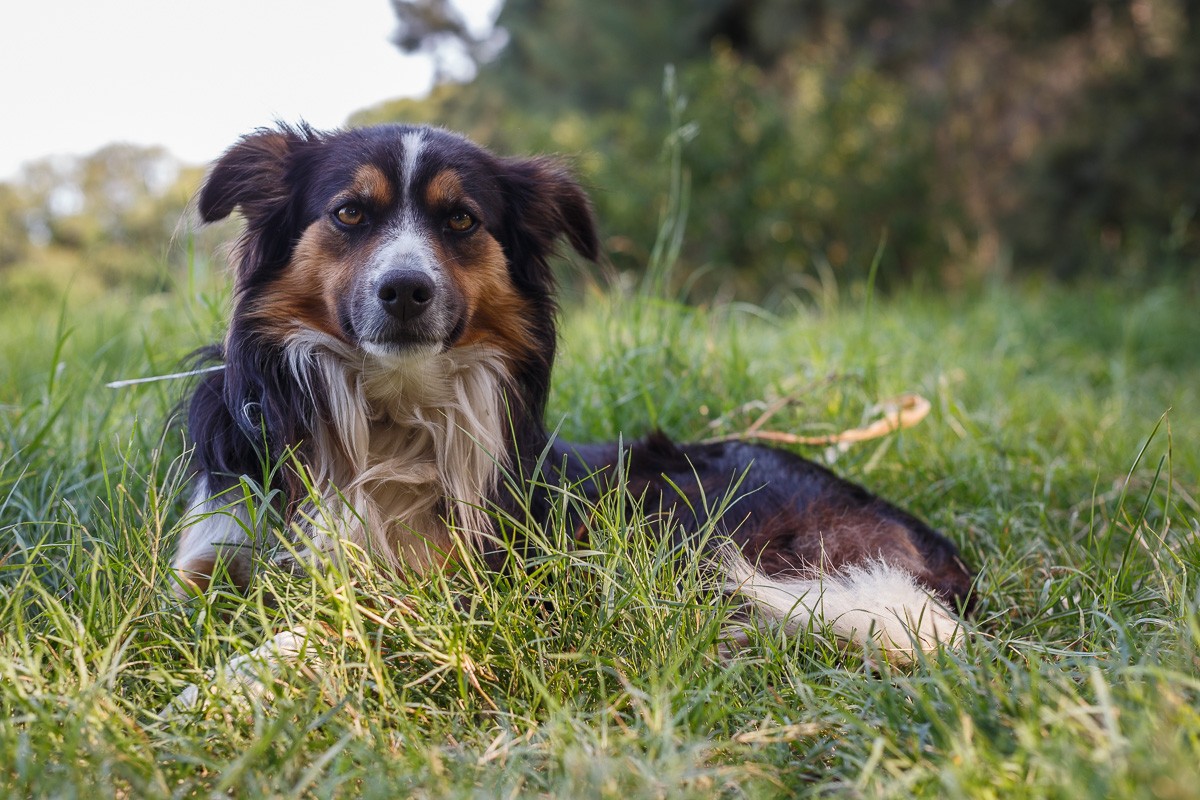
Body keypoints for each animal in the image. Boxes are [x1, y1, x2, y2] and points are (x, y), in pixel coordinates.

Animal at [171, 125, 974, 695]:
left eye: (461, 220)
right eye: (349, 213)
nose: (405, 290)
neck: (390, 411)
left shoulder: (466, 582)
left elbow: (358, 617)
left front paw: (228, 683)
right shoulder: (220, 534)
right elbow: (184, 589)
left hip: (676, 509)